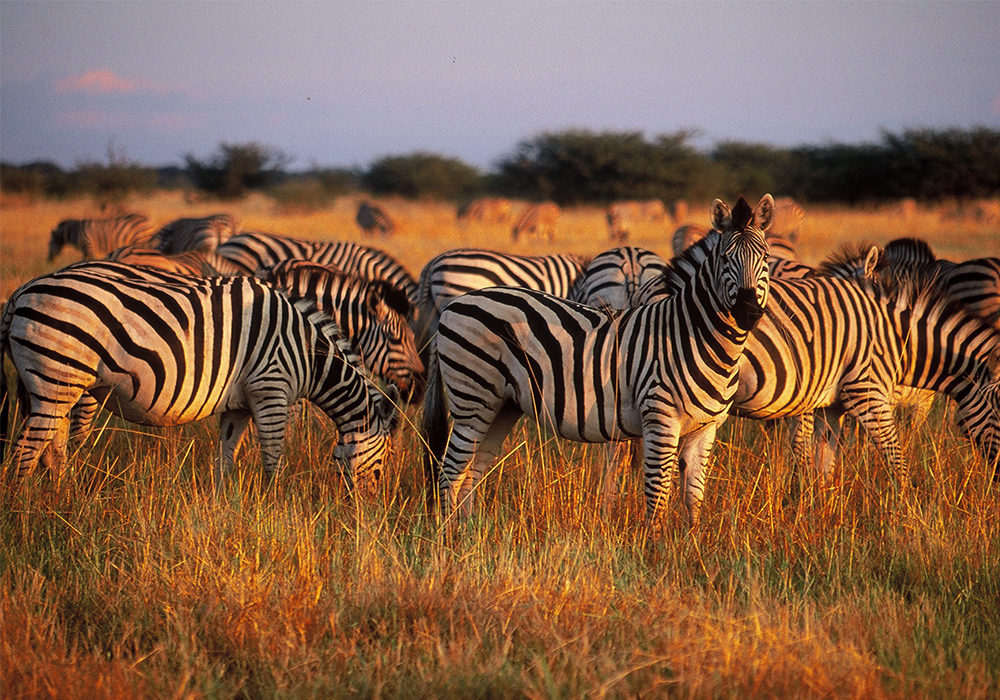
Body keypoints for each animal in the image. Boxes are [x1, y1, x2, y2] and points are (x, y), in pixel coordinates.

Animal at [0, 268, 398, 492]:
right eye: (382, 467)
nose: (368, 515)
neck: (308, 353)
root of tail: (19, 293)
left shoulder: (239, 405)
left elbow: (225, 460)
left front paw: (225, 510)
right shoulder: (271, 390)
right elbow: (273, 459)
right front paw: (276, 505)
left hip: (58, 388)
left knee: (53, 449)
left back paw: (61, 499)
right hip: (55, 378)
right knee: (23, 454)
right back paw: (27, 515)